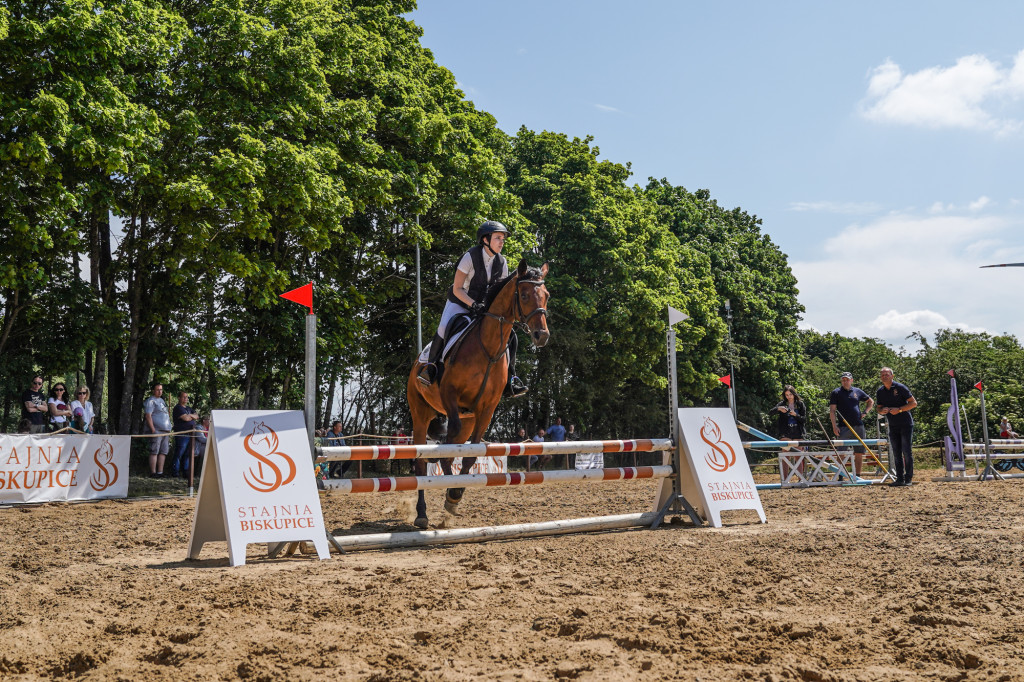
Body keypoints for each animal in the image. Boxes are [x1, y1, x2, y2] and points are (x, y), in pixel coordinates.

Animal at [407, 258, 552, 528]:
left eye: (546, 295)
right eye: (524, 295)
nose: (542, 336)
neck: (489, 348)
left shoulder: (486, 409)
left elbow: (469, 455)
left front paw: (454, 496)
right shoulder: (450, 395)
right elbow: (449, 445)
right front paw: (448, 489)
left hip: (468, 419)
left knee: (453, 450)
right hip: (420, 414)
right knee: (421, 461)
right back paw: (421, 514)